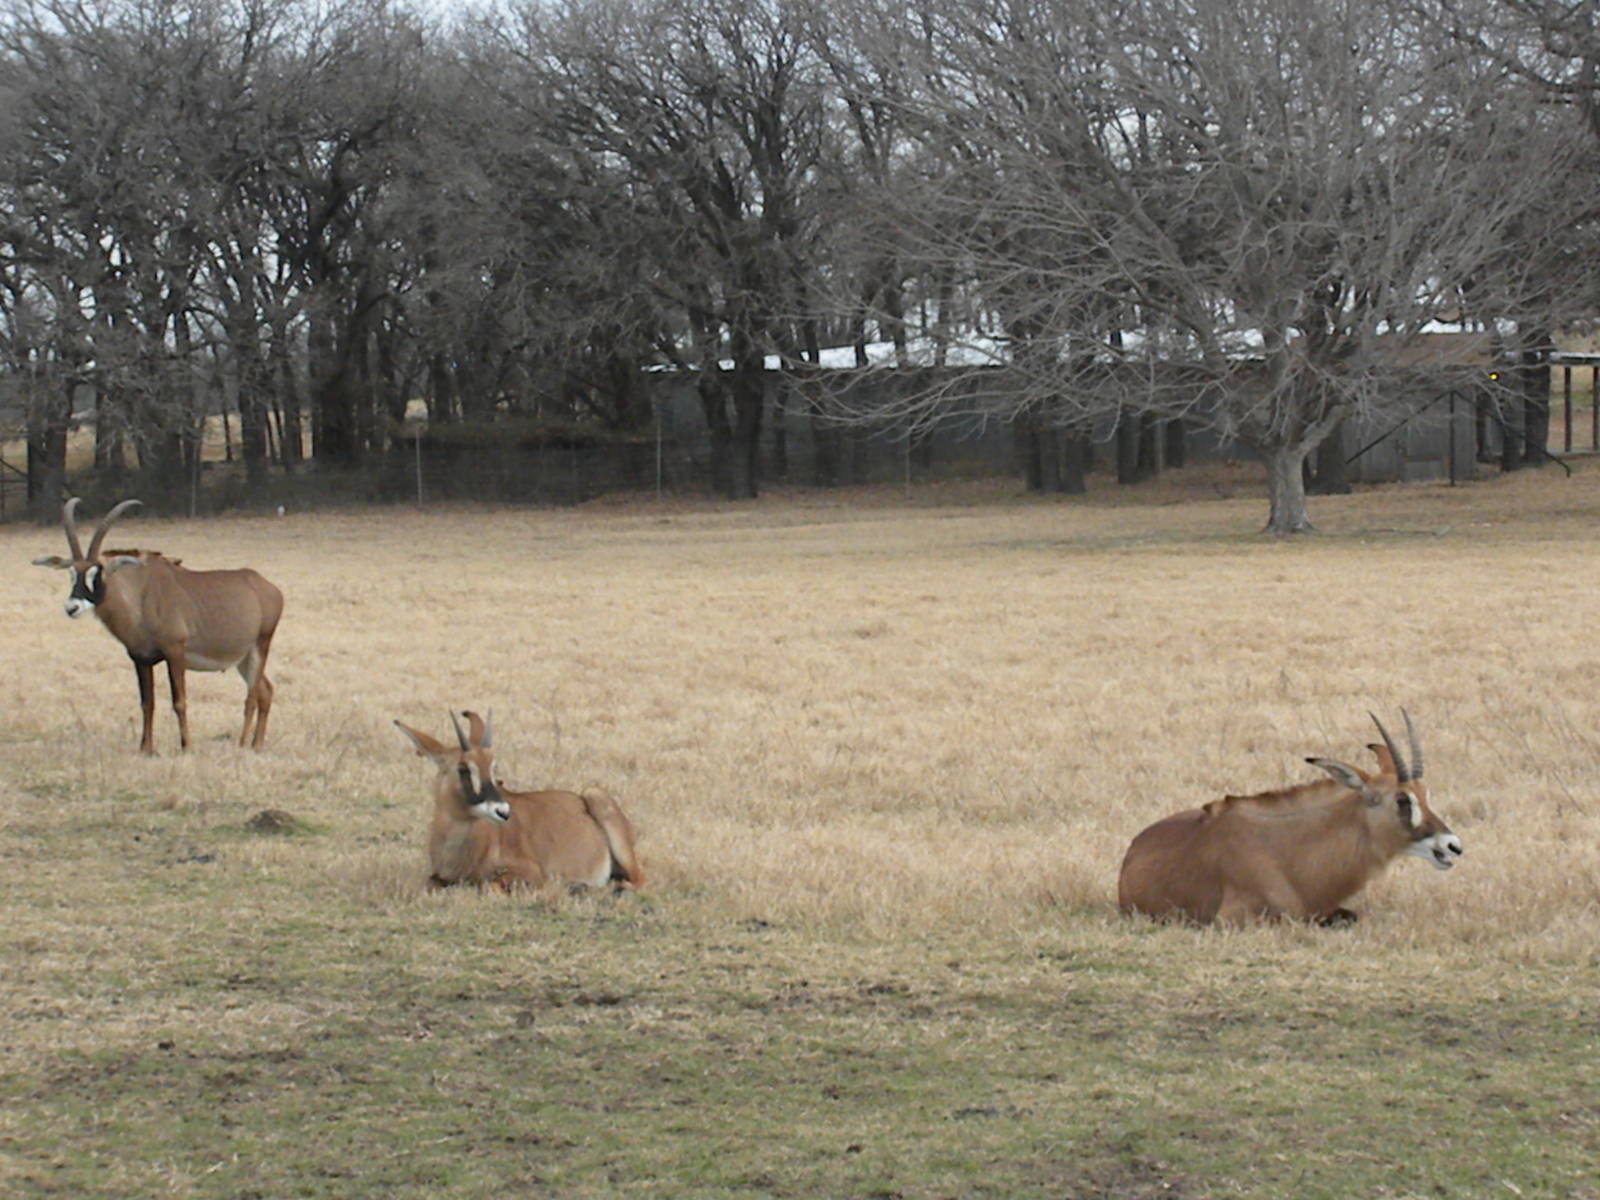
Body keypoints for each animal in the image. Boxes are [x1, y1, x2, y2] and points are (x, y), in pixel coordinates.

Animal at [33, 498, 284, 754]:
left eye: (97, 572)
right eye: (72, 573)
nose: (72, 607)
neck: (141, 593)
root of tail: (268, 587)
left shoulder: (175, 653)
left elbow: (179, 701)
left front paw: (186, 747)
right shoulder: (140, 659)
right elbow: (147, 703)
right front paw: (146, 749)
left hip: (260, 647)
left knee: (251, 696)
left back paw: (243, 744)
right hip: (242, 659)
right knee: (266, 690)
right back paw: (257, 745)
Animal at [396, 709, 644, 893]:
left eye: (493, 767)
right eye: (463, 768)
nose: (503, 812)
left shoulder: (532, 873)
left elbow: (490, 886)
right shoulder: (437, 877)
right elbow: (431, 883)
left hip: (597, 798)